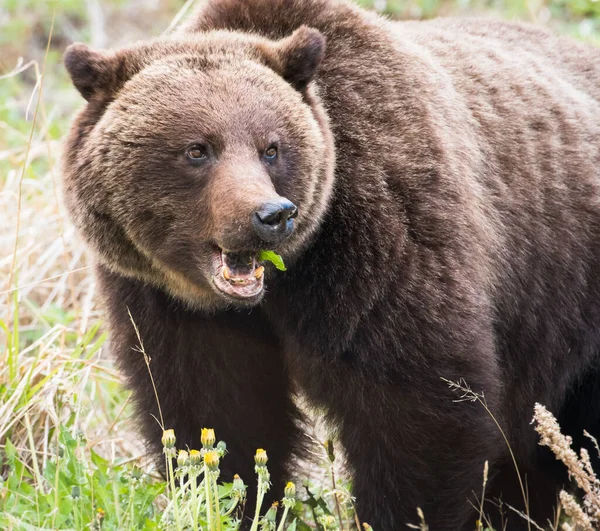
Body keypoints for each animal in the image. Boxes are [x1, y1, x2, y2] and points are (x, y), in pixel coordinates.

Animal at [62, 1, 600, 531]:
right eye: (197, 149)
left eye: (271, 147)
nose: (271, 215)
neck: (284, 281)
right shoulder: (169, 305)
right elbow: (215, 417)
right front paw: (234, 504)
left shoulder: (381, 249)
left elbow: (419, 412)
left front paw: (400, 515)